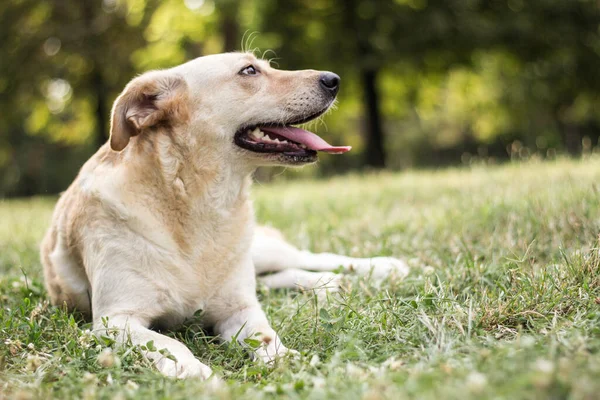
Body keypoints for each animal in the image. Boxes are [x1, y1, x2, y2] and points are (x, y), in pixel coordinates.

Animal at [39, 51, 410, 380]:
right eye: (249, 71)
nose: (334, 80)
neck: (200, 204)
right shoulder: (115, 320)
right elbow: (169, 344)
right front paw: (190, 369)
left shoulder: (240, 309)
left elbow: (266, 334)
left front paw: (282, 359)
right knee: (277, 277)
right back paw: (328, 285)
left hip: (258, 249)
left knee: (310, 258)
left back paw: (381, 267)